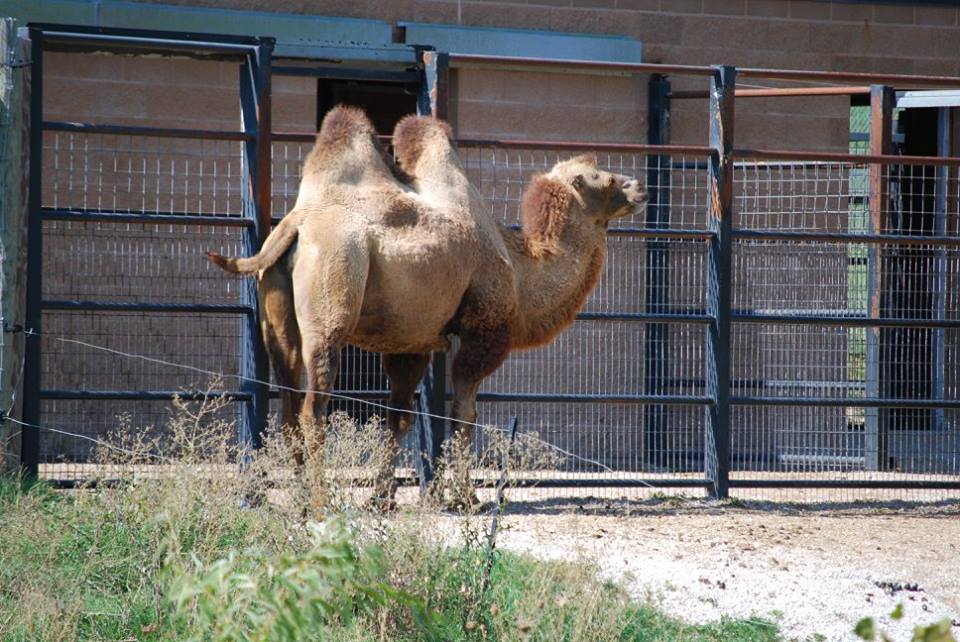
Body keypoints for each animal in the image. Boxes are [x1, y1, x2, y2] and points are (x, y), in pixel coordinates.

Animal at [207, 106, 648, 505]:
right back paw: (320, 502)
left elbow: (400, 416)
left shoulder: (411, 340)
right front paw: (464, 498)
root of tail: (295, 225)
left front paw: (382, 497)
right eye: (606, 178)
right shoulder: (483, 330)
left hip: (276, 316)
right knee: (313, 407)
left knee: (286, 405)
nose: (640, 186)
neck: (521, 268)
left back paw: (299, 498)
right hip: (333, 289)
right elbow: (463, 413)